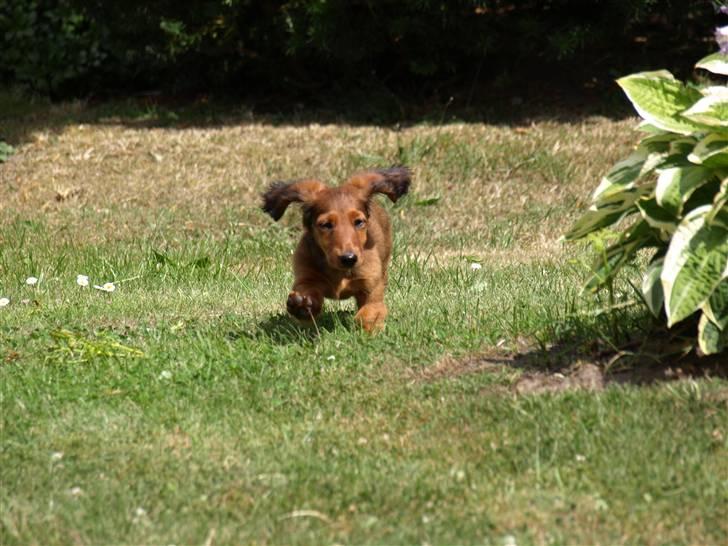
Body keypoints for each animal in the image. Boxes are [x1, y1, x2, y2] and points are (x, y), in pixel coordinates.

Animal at [260, 164, 410, 330]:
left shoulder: (371, 287)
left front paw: (368, 326)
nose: (349, 259)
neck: (340, 272)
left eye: (358, 222)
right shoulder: (306, 277)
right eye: (326, 224)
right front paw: (302, 307)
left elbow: (369, 311)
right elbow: (308, 293)